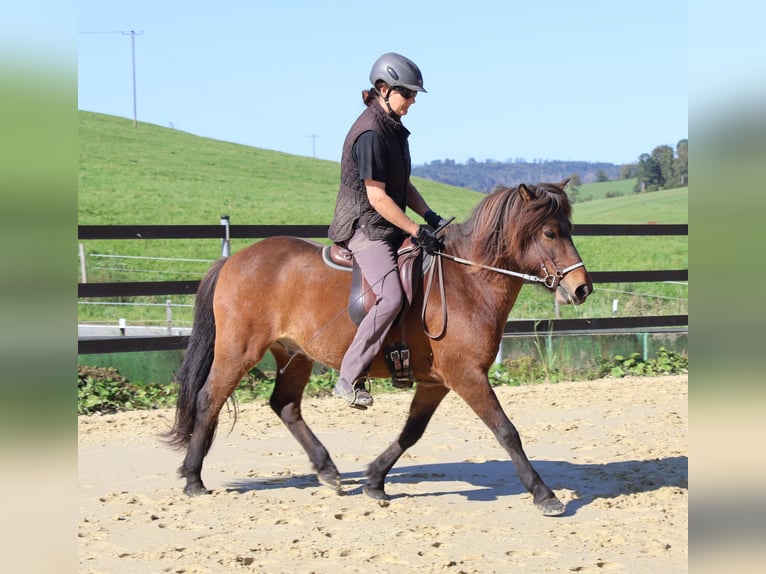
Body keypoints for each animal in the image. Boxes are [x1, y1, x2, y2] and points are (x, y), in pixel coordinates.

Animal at [165, 179, 593, 516]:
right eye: (551, 234)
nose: (582, 289)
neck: (468, 282)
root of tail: (233, 260)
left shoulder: (436, 382)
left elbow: (412, 432)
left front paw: (374, 480)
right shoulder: (467, 375)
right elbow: (506, 431)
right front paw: (544, 495)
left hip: (295, 353)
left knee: (285, 405)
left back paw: (327, 471)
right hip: (239, 350)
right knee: (208, 399)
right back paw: (193, 478)